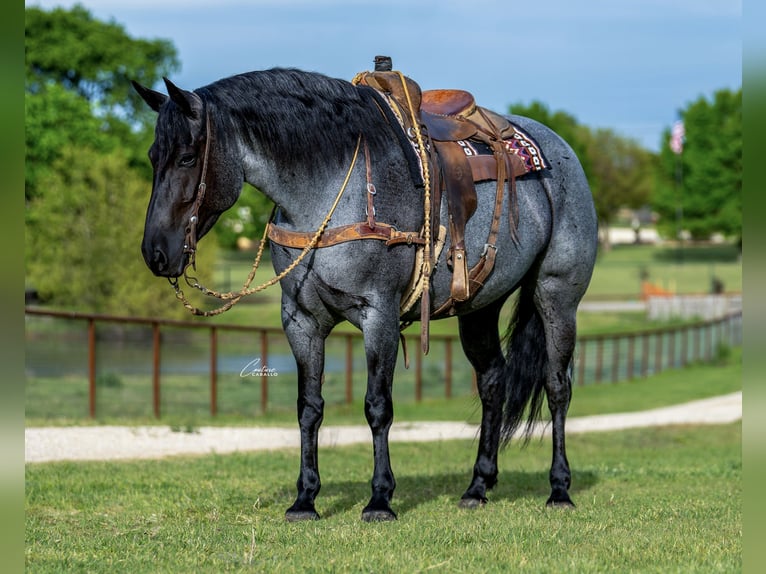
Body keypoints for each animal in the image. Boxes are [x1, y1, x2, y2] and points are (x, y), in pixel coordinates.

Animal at [132, 66, 598, 522]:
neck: (335, 189)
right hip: (479, 306)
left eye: (188, 157)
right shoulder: (300, 320)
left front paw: (380, 499)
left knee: (557, 386)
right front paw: (305, 499)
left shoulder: (379, 315)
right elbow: (309, 407)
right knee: (493, 382)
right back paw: (477, 487)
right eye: (154, 157)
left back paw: (559, 489)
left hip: (556, 296)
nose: (156, 252)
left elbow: (378, 405)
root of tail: (560, 152)